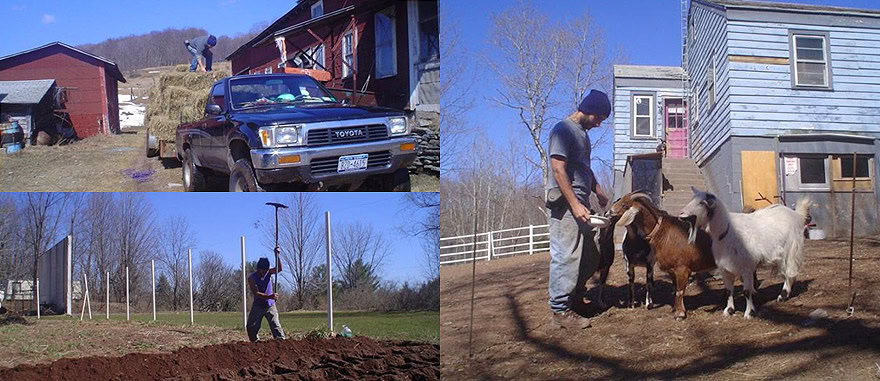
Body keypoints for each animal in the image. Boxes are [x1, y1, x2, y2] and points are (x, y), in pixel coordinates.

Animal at [608, 191, 720, 320]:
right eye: (619, 200)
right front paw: (676, 309)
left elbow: (680, 291)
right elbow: (675, 289)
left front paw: (680, 314)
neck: (662, 232)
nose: (609, 212)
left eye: (625, 205)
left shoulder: (682, 268)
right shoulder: (672, 270)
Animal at [680, 187, 812, 318]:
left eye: (702, 203)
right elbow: (729, 290)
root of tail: (796, 214)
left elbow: (746, 291)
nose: (681, 215)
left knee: (790, 274)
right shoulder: (725, 269)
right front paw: (729, 310)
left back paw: (783, 296)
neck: (727, 231)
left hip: (791, 251)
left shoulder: (746, 268)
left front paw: (749, 312)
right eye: (692, 199)